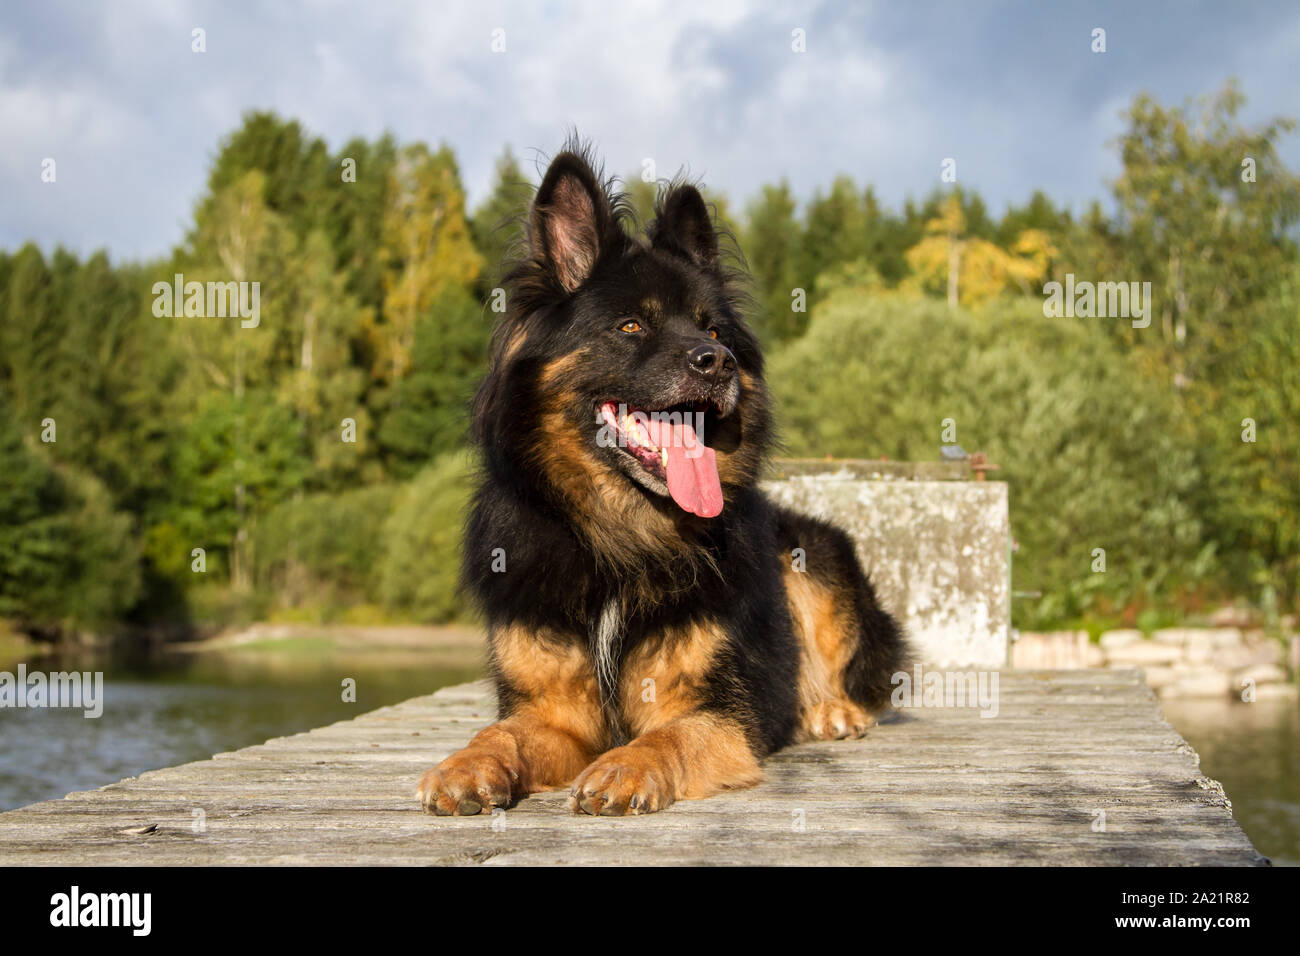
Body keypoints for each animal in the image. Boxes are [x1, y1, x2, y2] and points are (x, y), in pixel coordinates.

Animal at [416, 141, 904, 816]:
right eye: (632, 327)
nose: (718, 361)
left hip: (812, 556)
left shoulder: (714, 715)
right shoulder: (555, 716)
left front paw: (627, 766)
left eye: (714, 330)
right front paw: (466, 764)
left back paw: (831, 711)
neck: (621, 535)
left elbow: (666, 737)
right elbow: (501, 732)